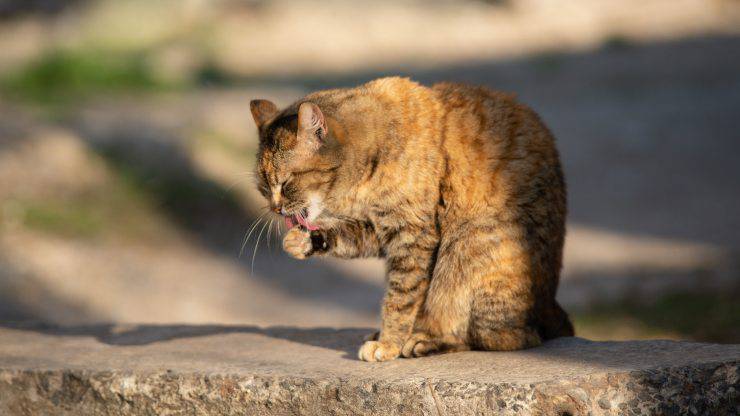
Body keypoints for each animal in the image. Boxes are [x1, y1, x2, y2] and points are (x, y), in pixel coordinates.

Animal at [249, 77, 572, 360]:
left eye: (285, 183)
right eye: (263, 187)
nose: (275, 208)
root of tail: (552, 306)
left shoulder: (412, 235)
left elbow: (401, 298)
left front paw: (389, 343)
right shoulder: (378, 228)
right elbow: (345, 237)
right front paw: (302, 241)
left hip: (470, 248)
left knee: (508, 337)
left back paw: (425, 340)